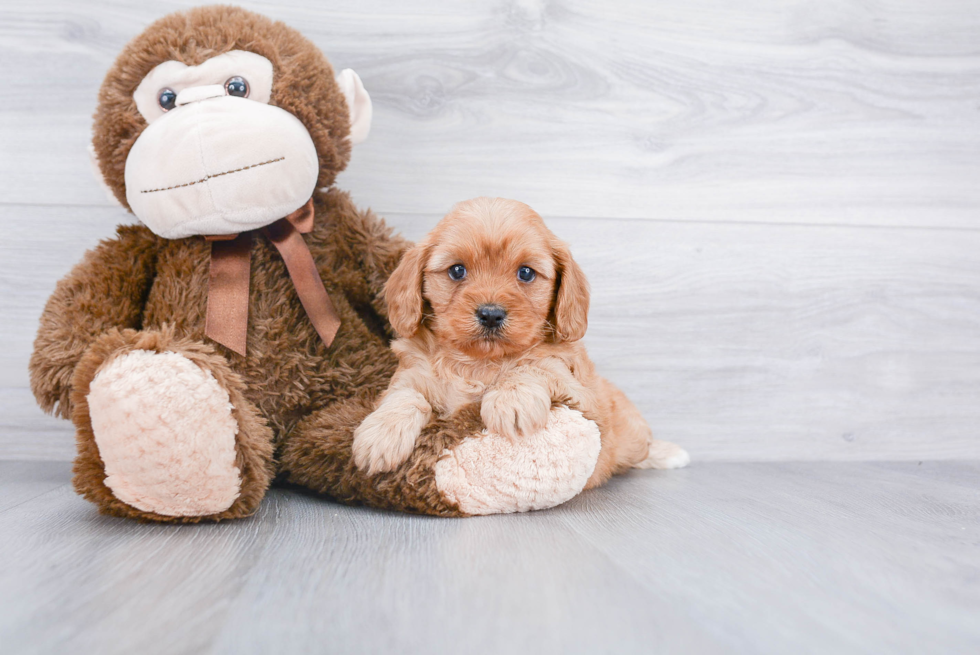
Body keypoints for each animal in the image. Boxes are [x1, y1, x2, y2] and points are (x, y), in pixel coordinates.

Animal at [354, 196, 688, 486]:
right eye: (457, 270)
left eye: (526, 273)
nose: (490, 314)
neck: (478, 363)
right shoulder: (410, 375)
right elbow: (406, 396)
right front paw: (380, 434)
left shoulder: (582, 398)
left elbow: (533, 365)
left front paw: (511, 400)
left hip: (627, 431)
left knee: (639, 448)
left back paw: (668, 453)